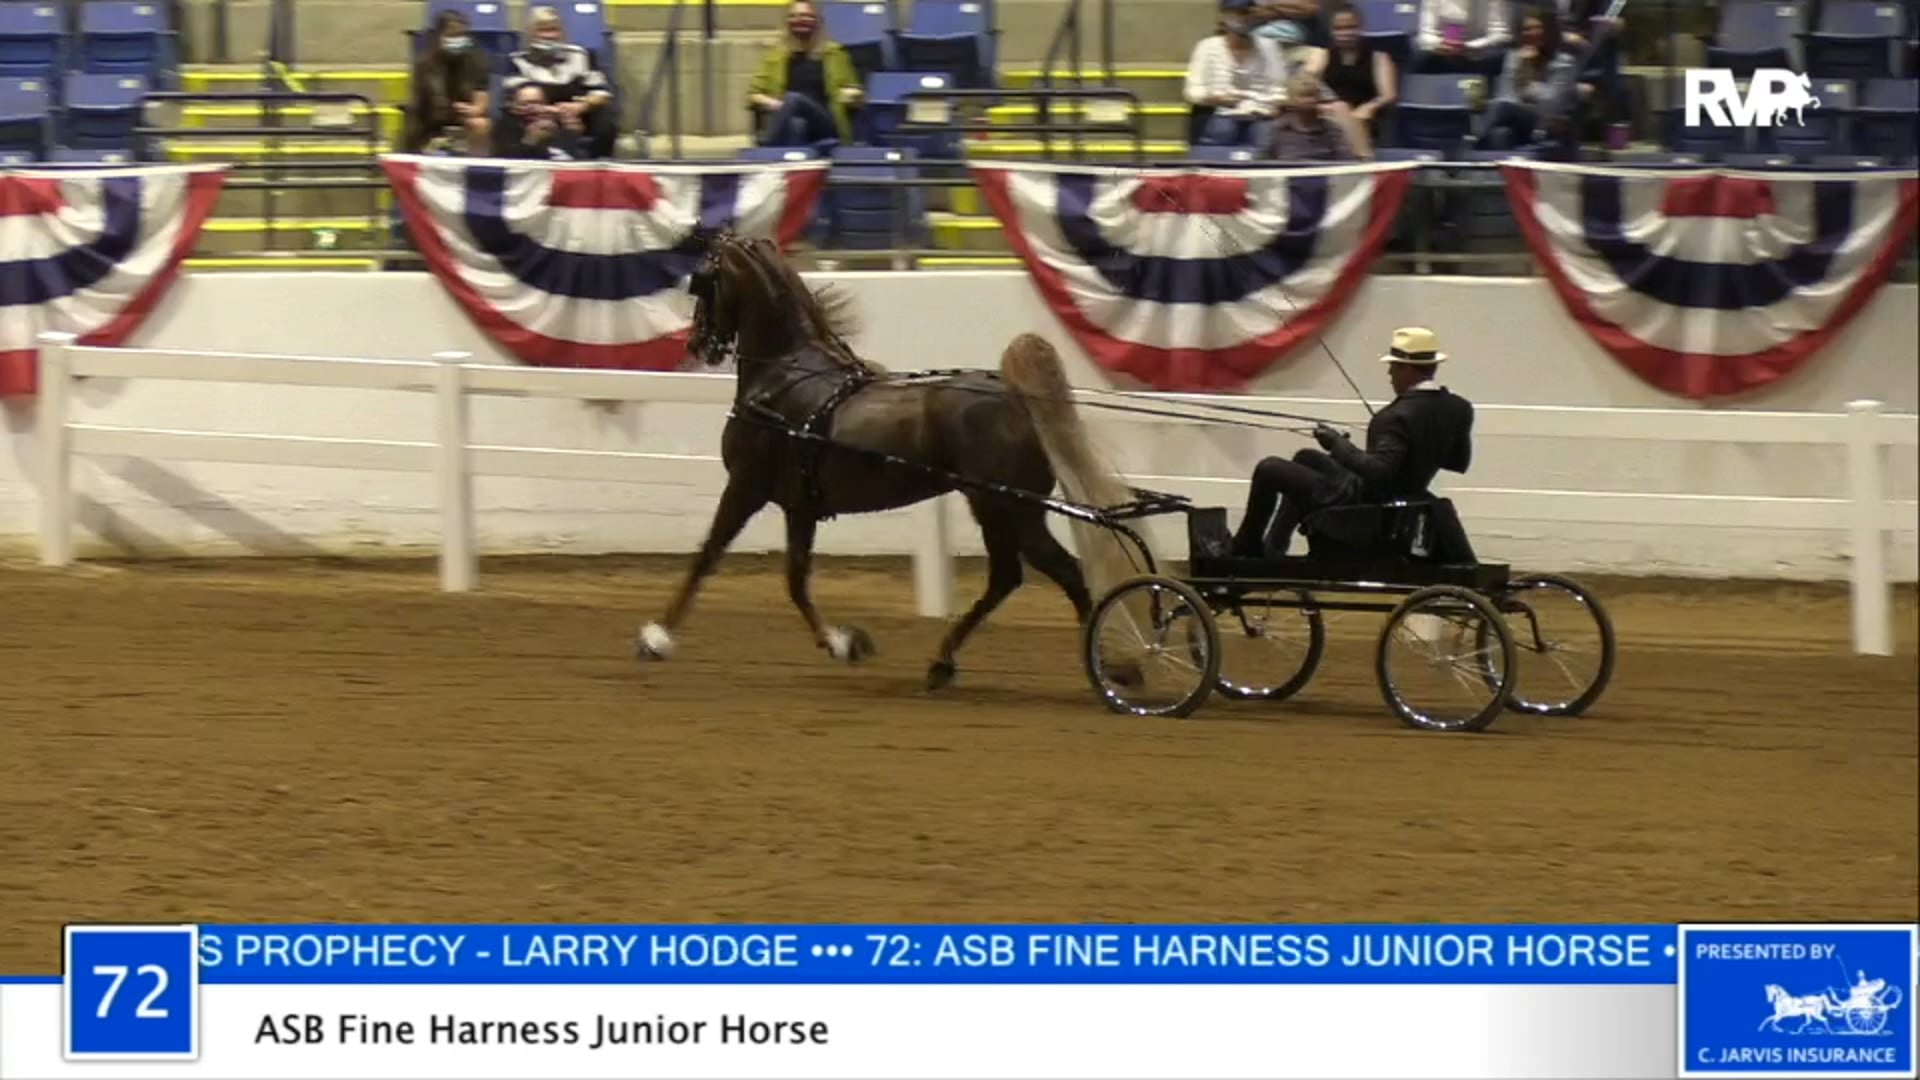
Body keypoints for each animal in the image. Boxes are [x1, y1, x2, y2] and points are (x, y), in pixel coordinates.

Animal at [634, 229, 1138, 690]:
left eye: (703, 281)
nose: (698, 345)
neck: (783, 375)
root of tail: (1019, 400)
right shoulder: (800, 506)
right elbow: (795, 580)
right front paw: (842, 643)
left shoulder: (745, 486)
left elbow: (707, 555)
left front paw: (656, 638)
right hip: (995, 507)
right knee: (1007, 577)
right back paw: (943, 663)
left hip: (1010, 508)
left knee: (1061, 572)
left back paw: (1111, 667)